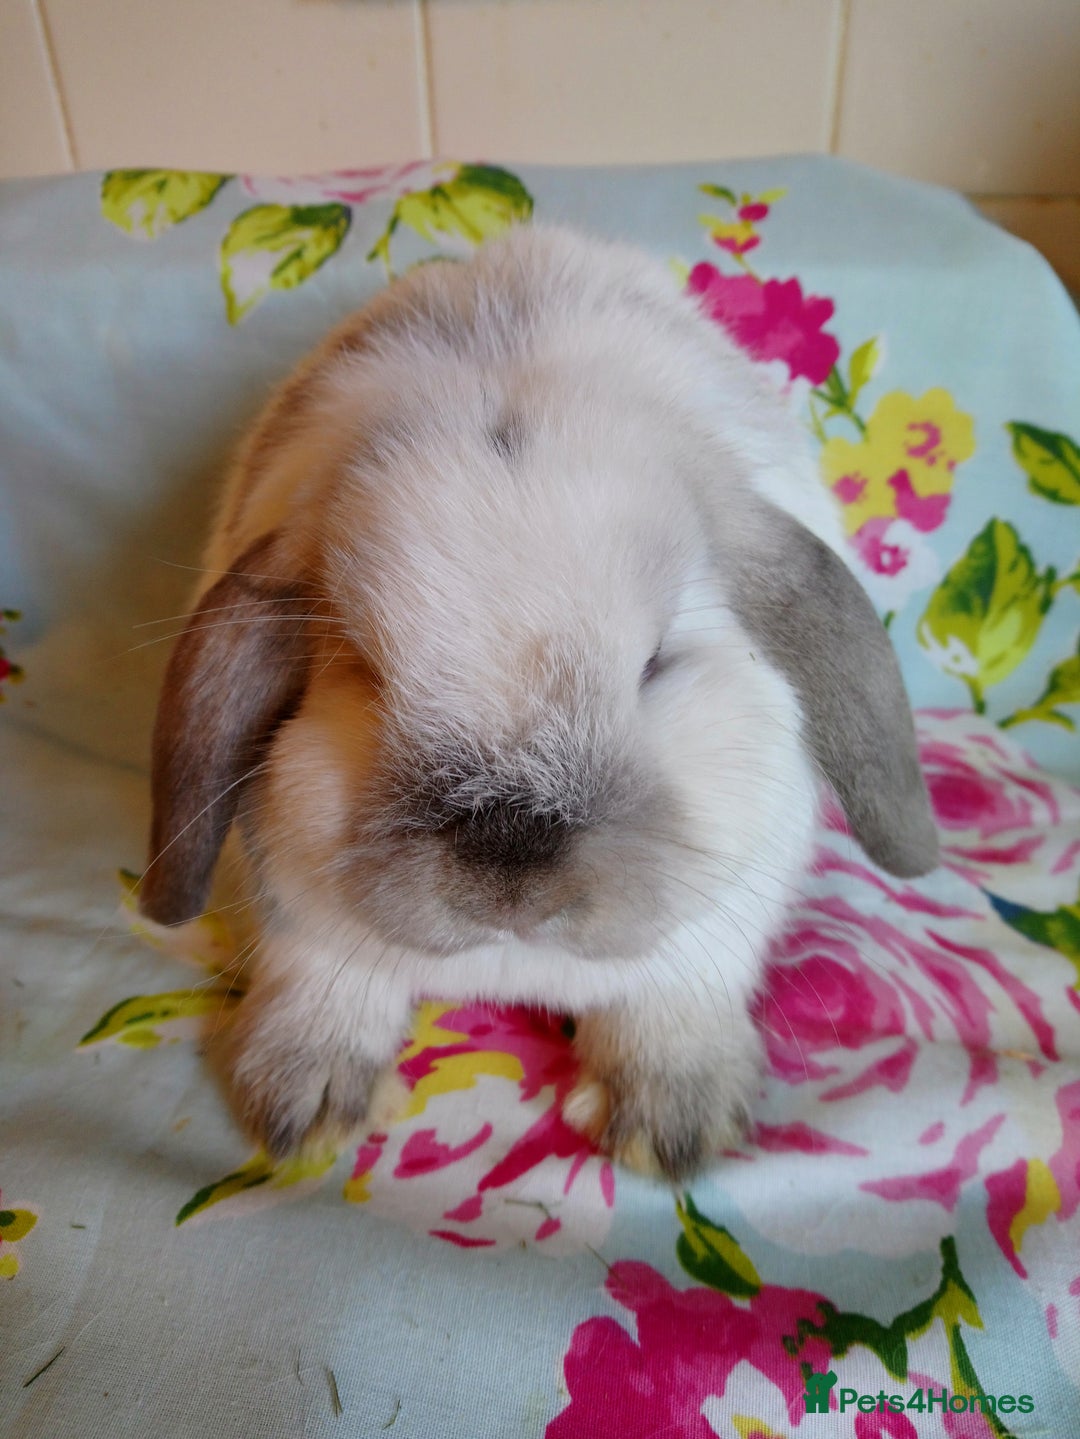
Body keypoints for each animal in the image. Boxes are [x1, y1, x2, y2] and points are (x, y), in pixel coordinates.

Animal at [139, 223, 938, 1182]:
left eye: (656, 663)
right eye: (363, 669)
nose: (510, 867)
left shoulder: (718, 926)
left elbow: (673, 1000)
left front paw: (671, 1126)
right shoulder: (300, 922)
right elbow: (323, 981)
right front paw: (307, 1107)